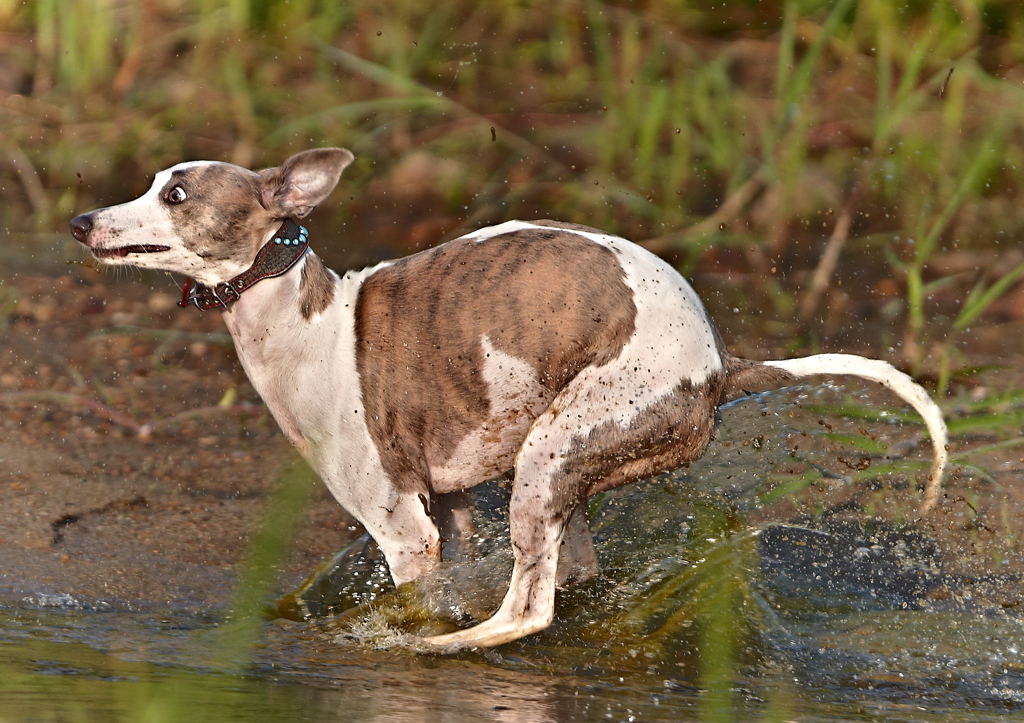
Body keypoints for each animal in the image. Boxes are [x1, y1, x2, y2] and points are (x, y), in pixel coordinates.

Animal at [70, 147, 950, 647]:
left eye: (176, 195)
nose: (81, 220)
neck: (307, 322)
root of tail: (719, 365)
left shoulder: (403, 529)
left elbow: (423, 597)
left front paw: (413, 635)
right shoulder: (451, 512)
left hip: (553, 453)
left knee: (528, 610)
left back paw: (442, 648)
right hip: (569, 472)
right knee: (568, 574)